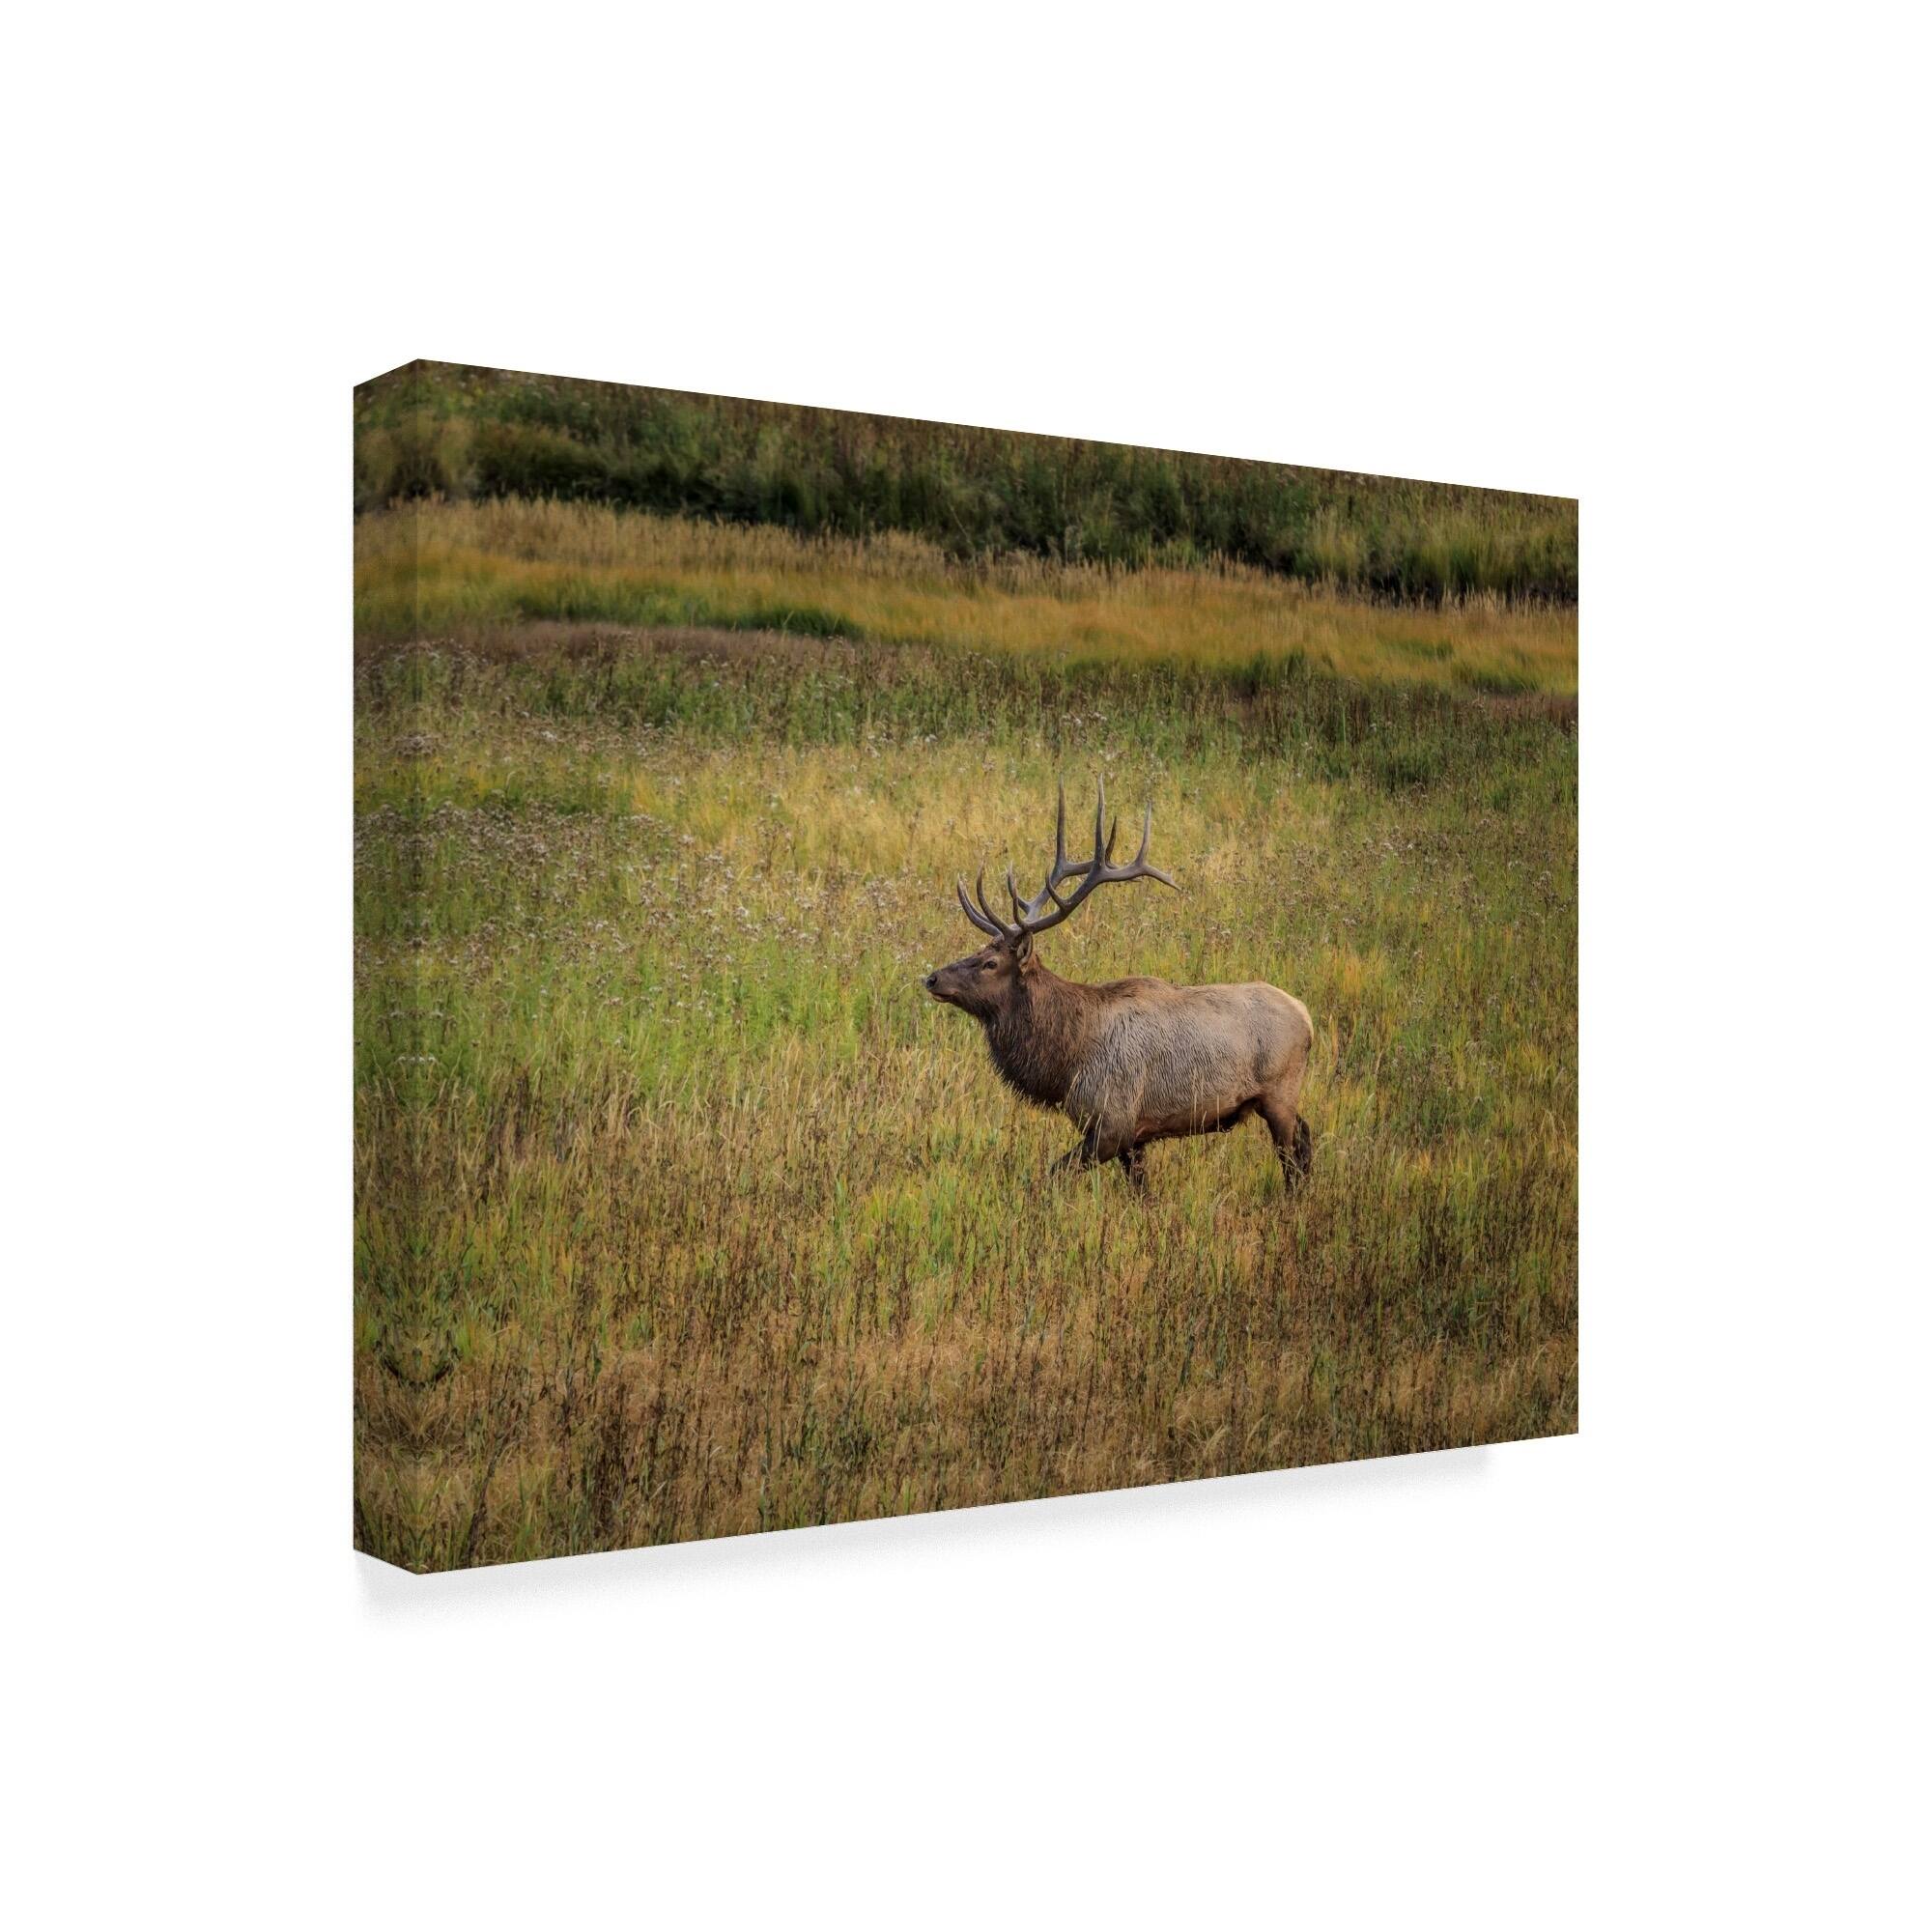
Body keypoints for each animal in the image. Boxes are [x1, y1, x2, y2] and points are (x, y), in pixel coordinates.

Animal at [923, 780, 1315, 1193]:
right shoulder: (1133, 1137)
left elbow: (1052, 1175)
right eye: (980, 950)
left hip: (1279, 1093)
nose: (931, 977)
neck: (1066, 1062)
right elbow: (1141, 1192)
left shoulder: (1113, 1123)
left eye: (990, 963)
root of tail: (1307, 1017)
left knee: (1294, 1156)